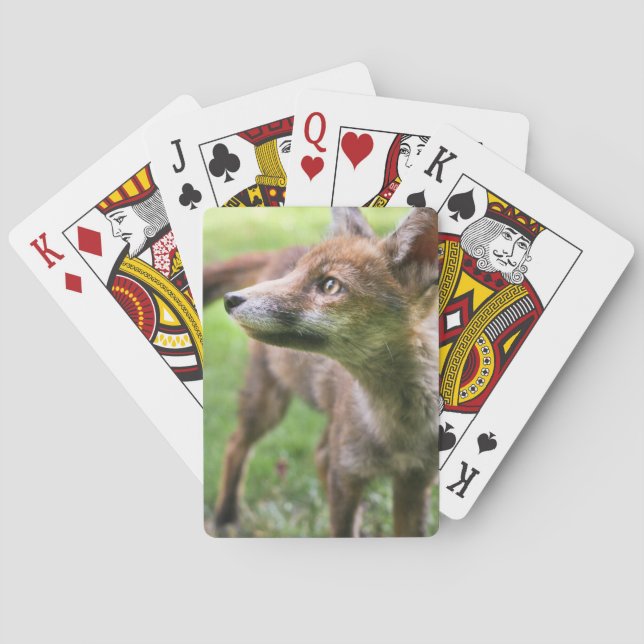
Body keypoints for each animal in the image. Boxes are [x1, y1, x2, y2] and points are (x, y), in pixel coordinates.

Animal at [205, 207, 439, 537]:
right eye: (295, 274)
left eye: (330, 285)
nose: (231, 299)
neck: (397, 431)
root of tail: (282, 251)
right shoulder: (347, 475)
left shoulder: (415, 482)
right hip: (267, 404)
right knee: (236, 444)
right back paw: (225, 516)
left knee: (318, 453)